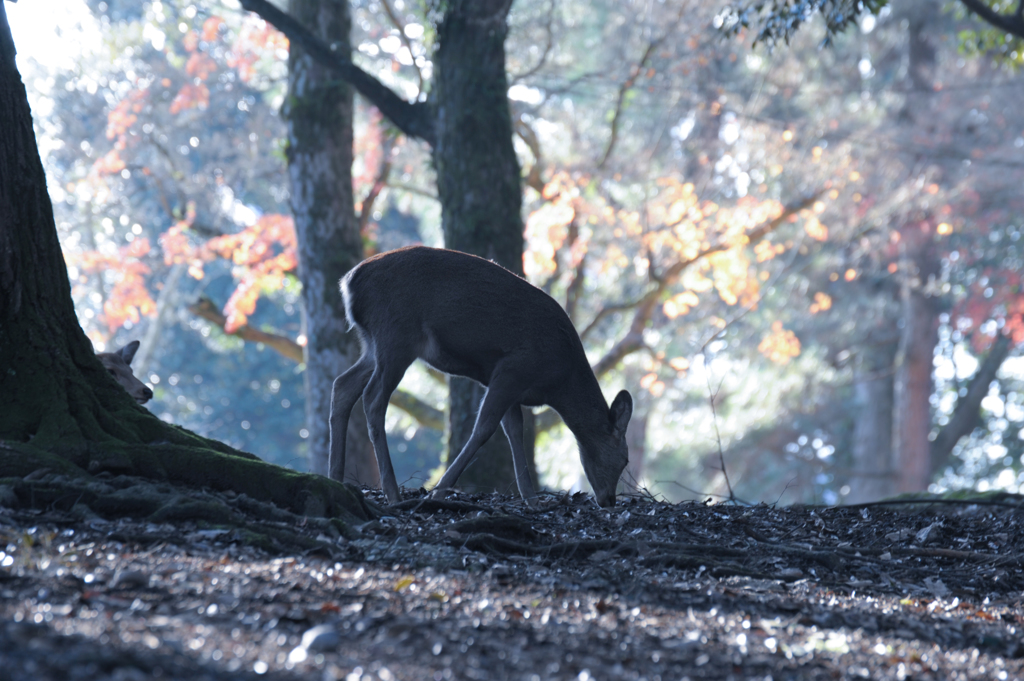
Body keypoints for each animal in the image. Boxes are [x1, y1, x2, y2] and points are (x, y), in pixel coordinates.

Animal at [327, 246, 630, 507]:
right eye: (625, 459)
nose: (609, 500)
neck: (560, 380)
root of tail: (348, 284)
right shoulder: (512, 369)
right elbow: (484, 428)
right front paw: (438, 492)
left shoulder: (512, 386)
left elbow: (515, 432)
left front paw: (531, 500)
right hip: (396, 335)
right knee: (373, 397)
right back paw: (392, 493)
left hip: (371, 343)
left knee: (342, 385)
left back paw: (335, 478)